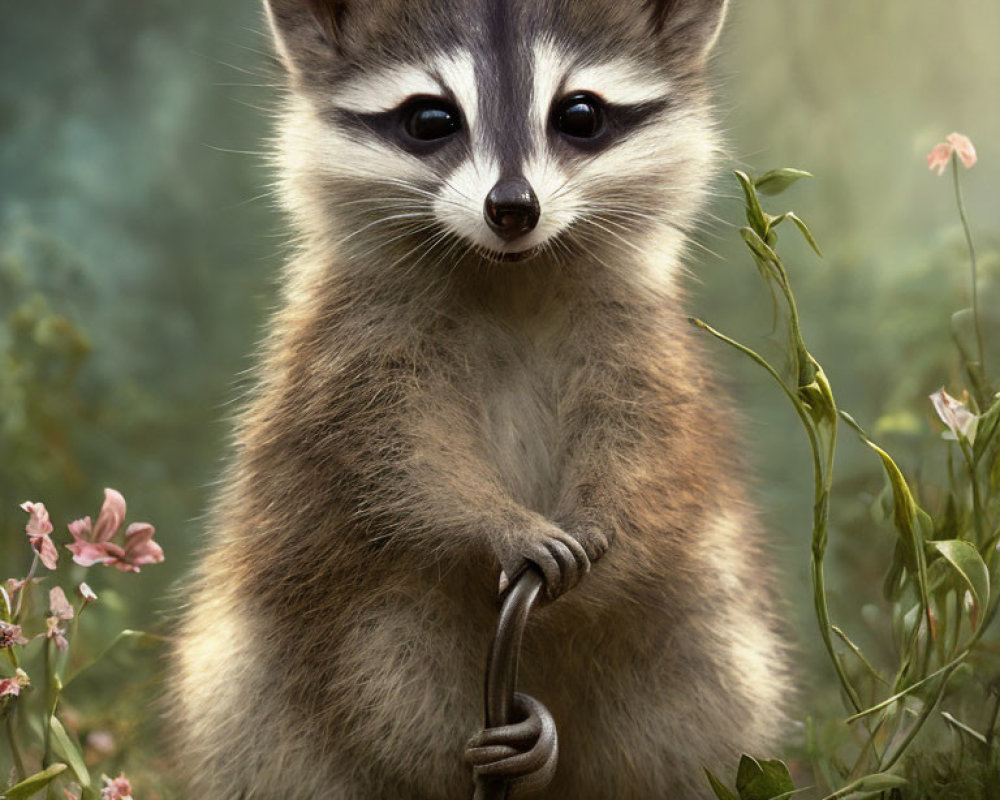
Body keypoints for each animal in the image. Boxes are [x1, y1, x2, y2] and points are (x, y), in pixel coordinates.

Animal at [172, 1, 788, 800]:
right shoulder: (350, 358)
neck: (509, 276)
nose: (513, 208)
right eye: (430, 119)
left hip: (694, 639)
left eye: (580, 114)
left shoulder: (645, 348)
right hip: (279, 661)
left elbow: (650, 451)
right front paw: (492, 521)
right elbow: (397, 464)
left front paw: (606, 515)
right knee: (382, 654)